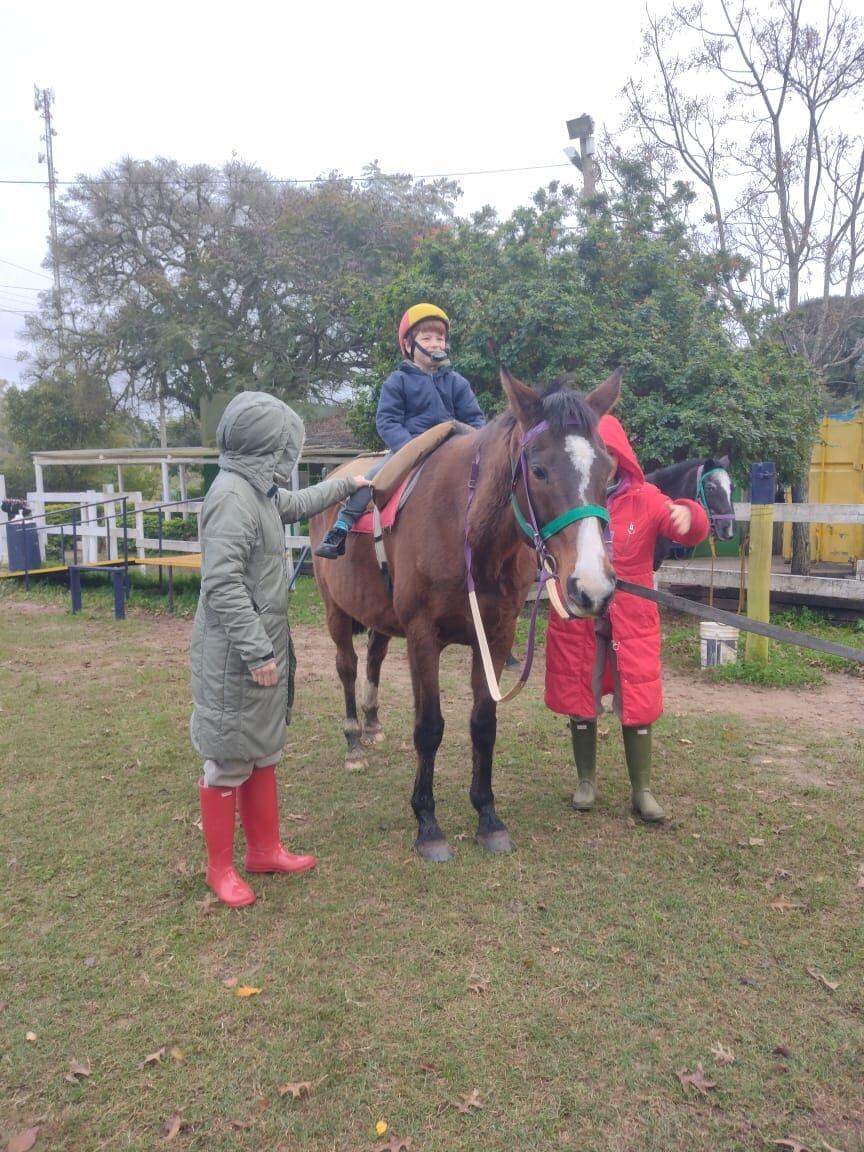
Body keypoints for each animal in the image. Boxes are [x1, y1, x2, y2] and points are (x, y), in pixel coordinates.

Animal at [311, 364, 622, 861]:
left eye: (608, 473)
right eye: (538, 469)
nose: (592, 587)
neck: (468, 529)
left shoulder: (494, 637)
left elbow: (483, 724)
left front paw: (488, 817)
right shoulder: (423, 637)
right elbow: (429, 727)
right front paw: (427, 823)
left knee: (374, 658)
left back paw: (373, 724)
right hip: (336, 611)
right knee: (347, 666)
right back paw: (354, 741)